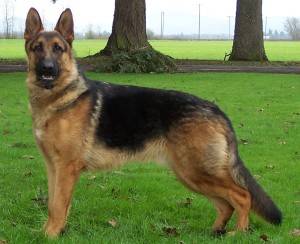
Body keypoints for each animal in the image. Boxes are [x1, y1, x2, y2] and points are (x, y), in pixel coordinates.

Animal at [24, 7, 282, 238]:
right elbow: (53, 204)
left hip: (197, 171)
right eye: (37, 48)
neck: (59, 97)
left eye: (58, 49)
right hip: (190, 175)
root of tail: (216, 109)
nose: (47, 69)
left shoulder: (67, 167)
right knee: (225, 204)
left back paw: (238, 233)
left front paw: (50, 236)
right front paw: (48, 232)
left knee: (242, 196)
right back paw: (214, 231)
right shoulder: (54, 167)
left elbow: (58, 205)